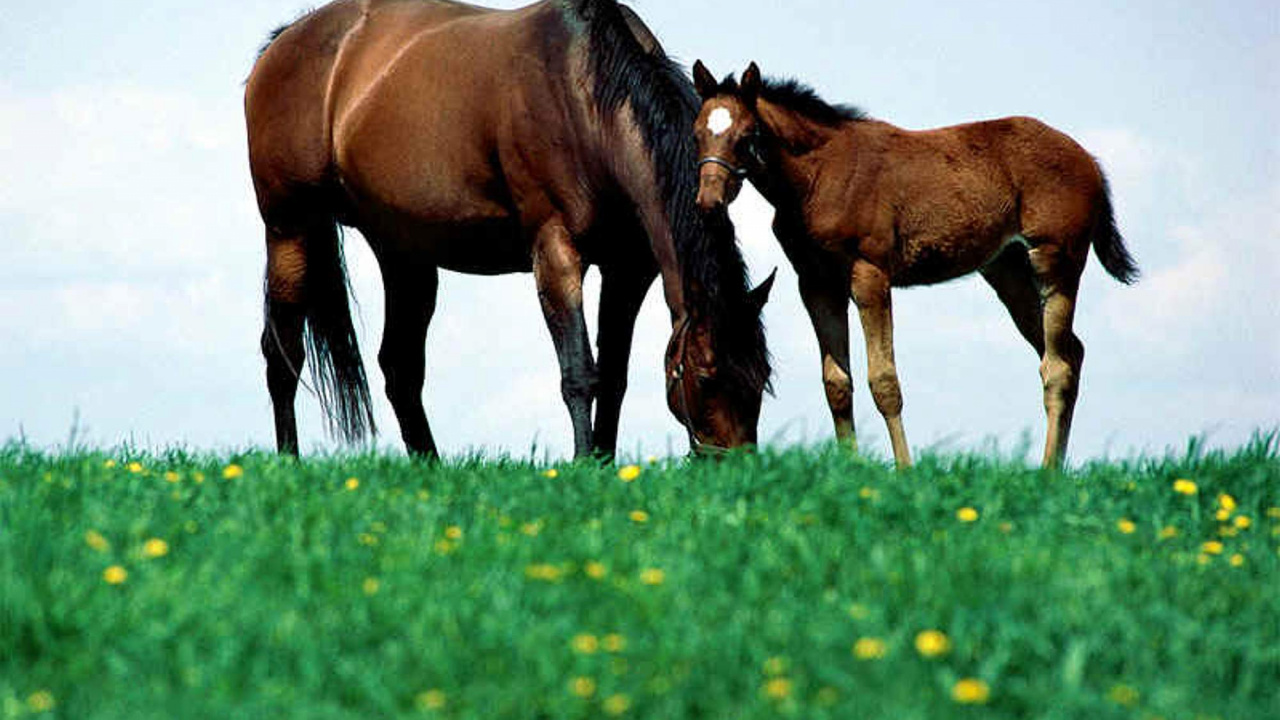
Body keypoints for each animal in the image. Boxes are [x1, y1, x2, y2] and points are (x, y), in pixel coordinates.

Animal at [243, 0, 773, 459]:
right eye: (706, 377)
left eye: (762, 376)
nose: (736, 465)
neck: (583, 96)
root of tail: (281, 42)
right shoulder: (555, 252)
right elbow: (580, 371)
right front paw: (584, 462)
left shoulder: (628, 269)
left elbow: (614, 375)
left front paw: (605, 464)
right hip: (289, 228)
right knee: (282, 354)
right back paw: (289, 461)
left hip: (404, 255)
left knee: (400, 366)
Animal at [691, 61, 1138, 468]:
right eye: (698, 134)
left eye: (746, 136)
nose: (708, 202)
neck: (818, 176)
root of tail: (1089, 160)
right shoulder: (817, 283)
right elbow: (836, 383)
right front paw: (850, 470)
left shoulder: (870, 273)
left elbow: (884, 380)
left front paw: (904, 469)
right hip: (1008, 271)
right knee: (1071, 352)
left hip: (1056, 261)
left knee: (1057, 365)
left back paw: (1047, 472)